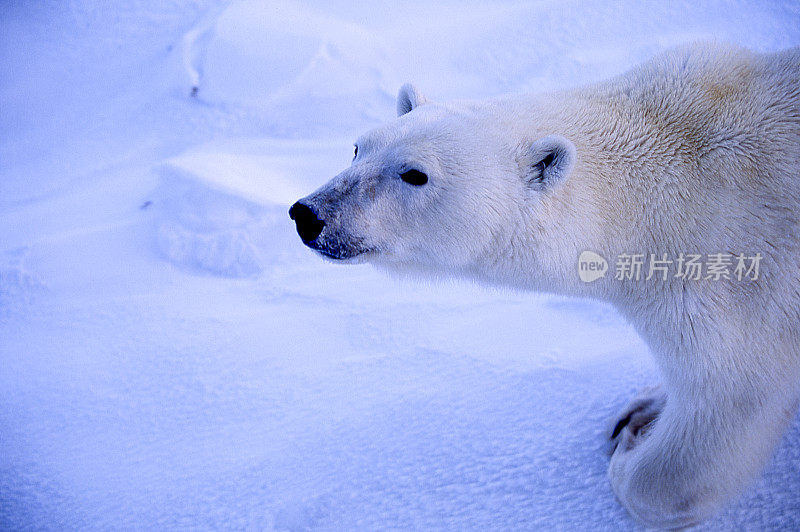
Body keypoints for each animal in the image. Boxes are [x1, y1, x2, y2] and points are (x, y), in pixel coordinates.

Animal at [290, 42, 800, 528]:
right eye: (358, 148)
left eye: (415, 173)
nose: (308, 214)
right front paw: (642, 408)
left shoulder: (734, 283)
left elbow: (732, 401)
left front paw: (631, 453)